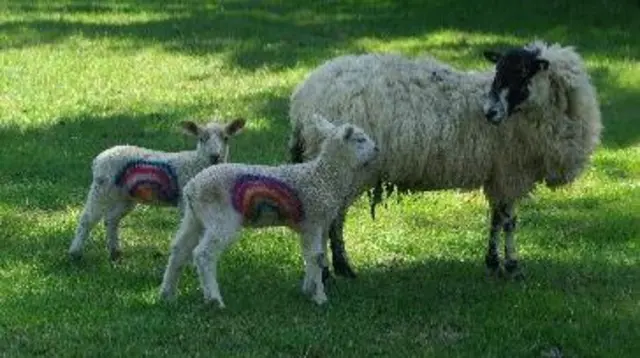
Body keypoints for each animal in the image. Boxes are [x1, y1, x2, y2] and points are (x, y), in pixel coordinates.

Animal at [66, 117, 244, 260]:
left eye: (226, 138)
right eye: (202, 138)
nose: (215, 156)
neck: (195, 162)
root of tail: (99, 158)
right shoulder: (184, 201)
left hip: (125, 196)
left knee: (111, 219)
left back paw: (115, 252)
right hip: (101, 187)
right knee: (87, 219)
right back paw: (75, 253)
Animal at [159, 115, 380, 308]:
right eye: (360, 139)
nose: (377, 149)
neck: (324, 177)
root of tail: (192, 188)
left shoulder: (314, 225)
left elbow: (313, 256)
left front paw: (308, 289)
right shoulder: (314, 219)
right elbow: (317, 258)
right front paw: (320, 298)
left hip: (195, 217)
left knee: (179, 249)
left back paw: (167, 294)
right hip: (221, 217)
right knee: (203, 254)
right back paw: (214, 299)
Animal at [288, 39, 604, 280]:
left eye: (524, 71)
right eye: (499, 70)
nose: (489, 112)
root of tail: (303, 98)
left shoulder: (498, 173)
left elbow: (496, 219)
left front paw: (493, 262)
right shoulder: (511, 172)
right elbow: (509, 222)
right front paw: (512, 266)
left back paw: (334, 269)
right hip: (345, 168)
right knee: (331, 220)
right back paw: (338, 269)